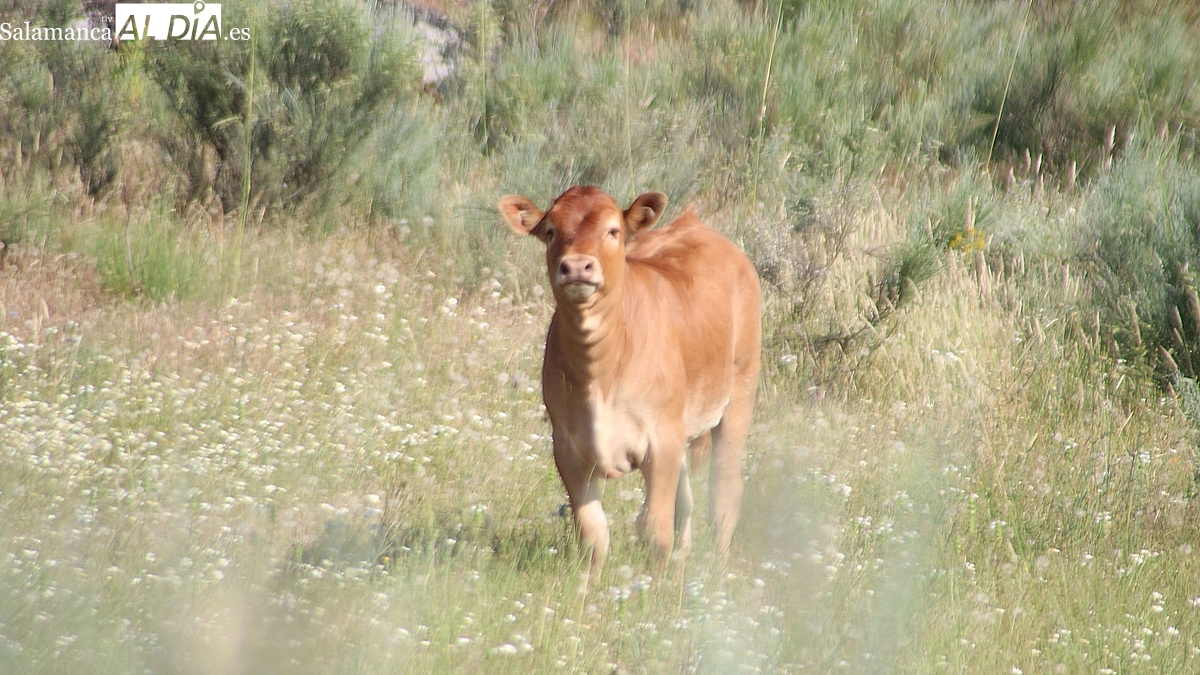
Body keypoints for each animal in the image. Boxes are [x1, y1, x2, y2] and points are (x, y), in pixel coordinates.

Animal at [496, 184, 758, 571]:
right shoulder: (568, 446)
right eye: (551, 232)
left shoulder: (661, 440)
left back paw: (719, 569)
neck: (600, 375)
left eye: (612, 231)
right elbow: (593, 534)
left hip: (739, 389)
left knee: (724, 490)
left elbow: (654, 529)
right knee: (686, 497)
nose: (577, 266)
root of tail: (693, 225)